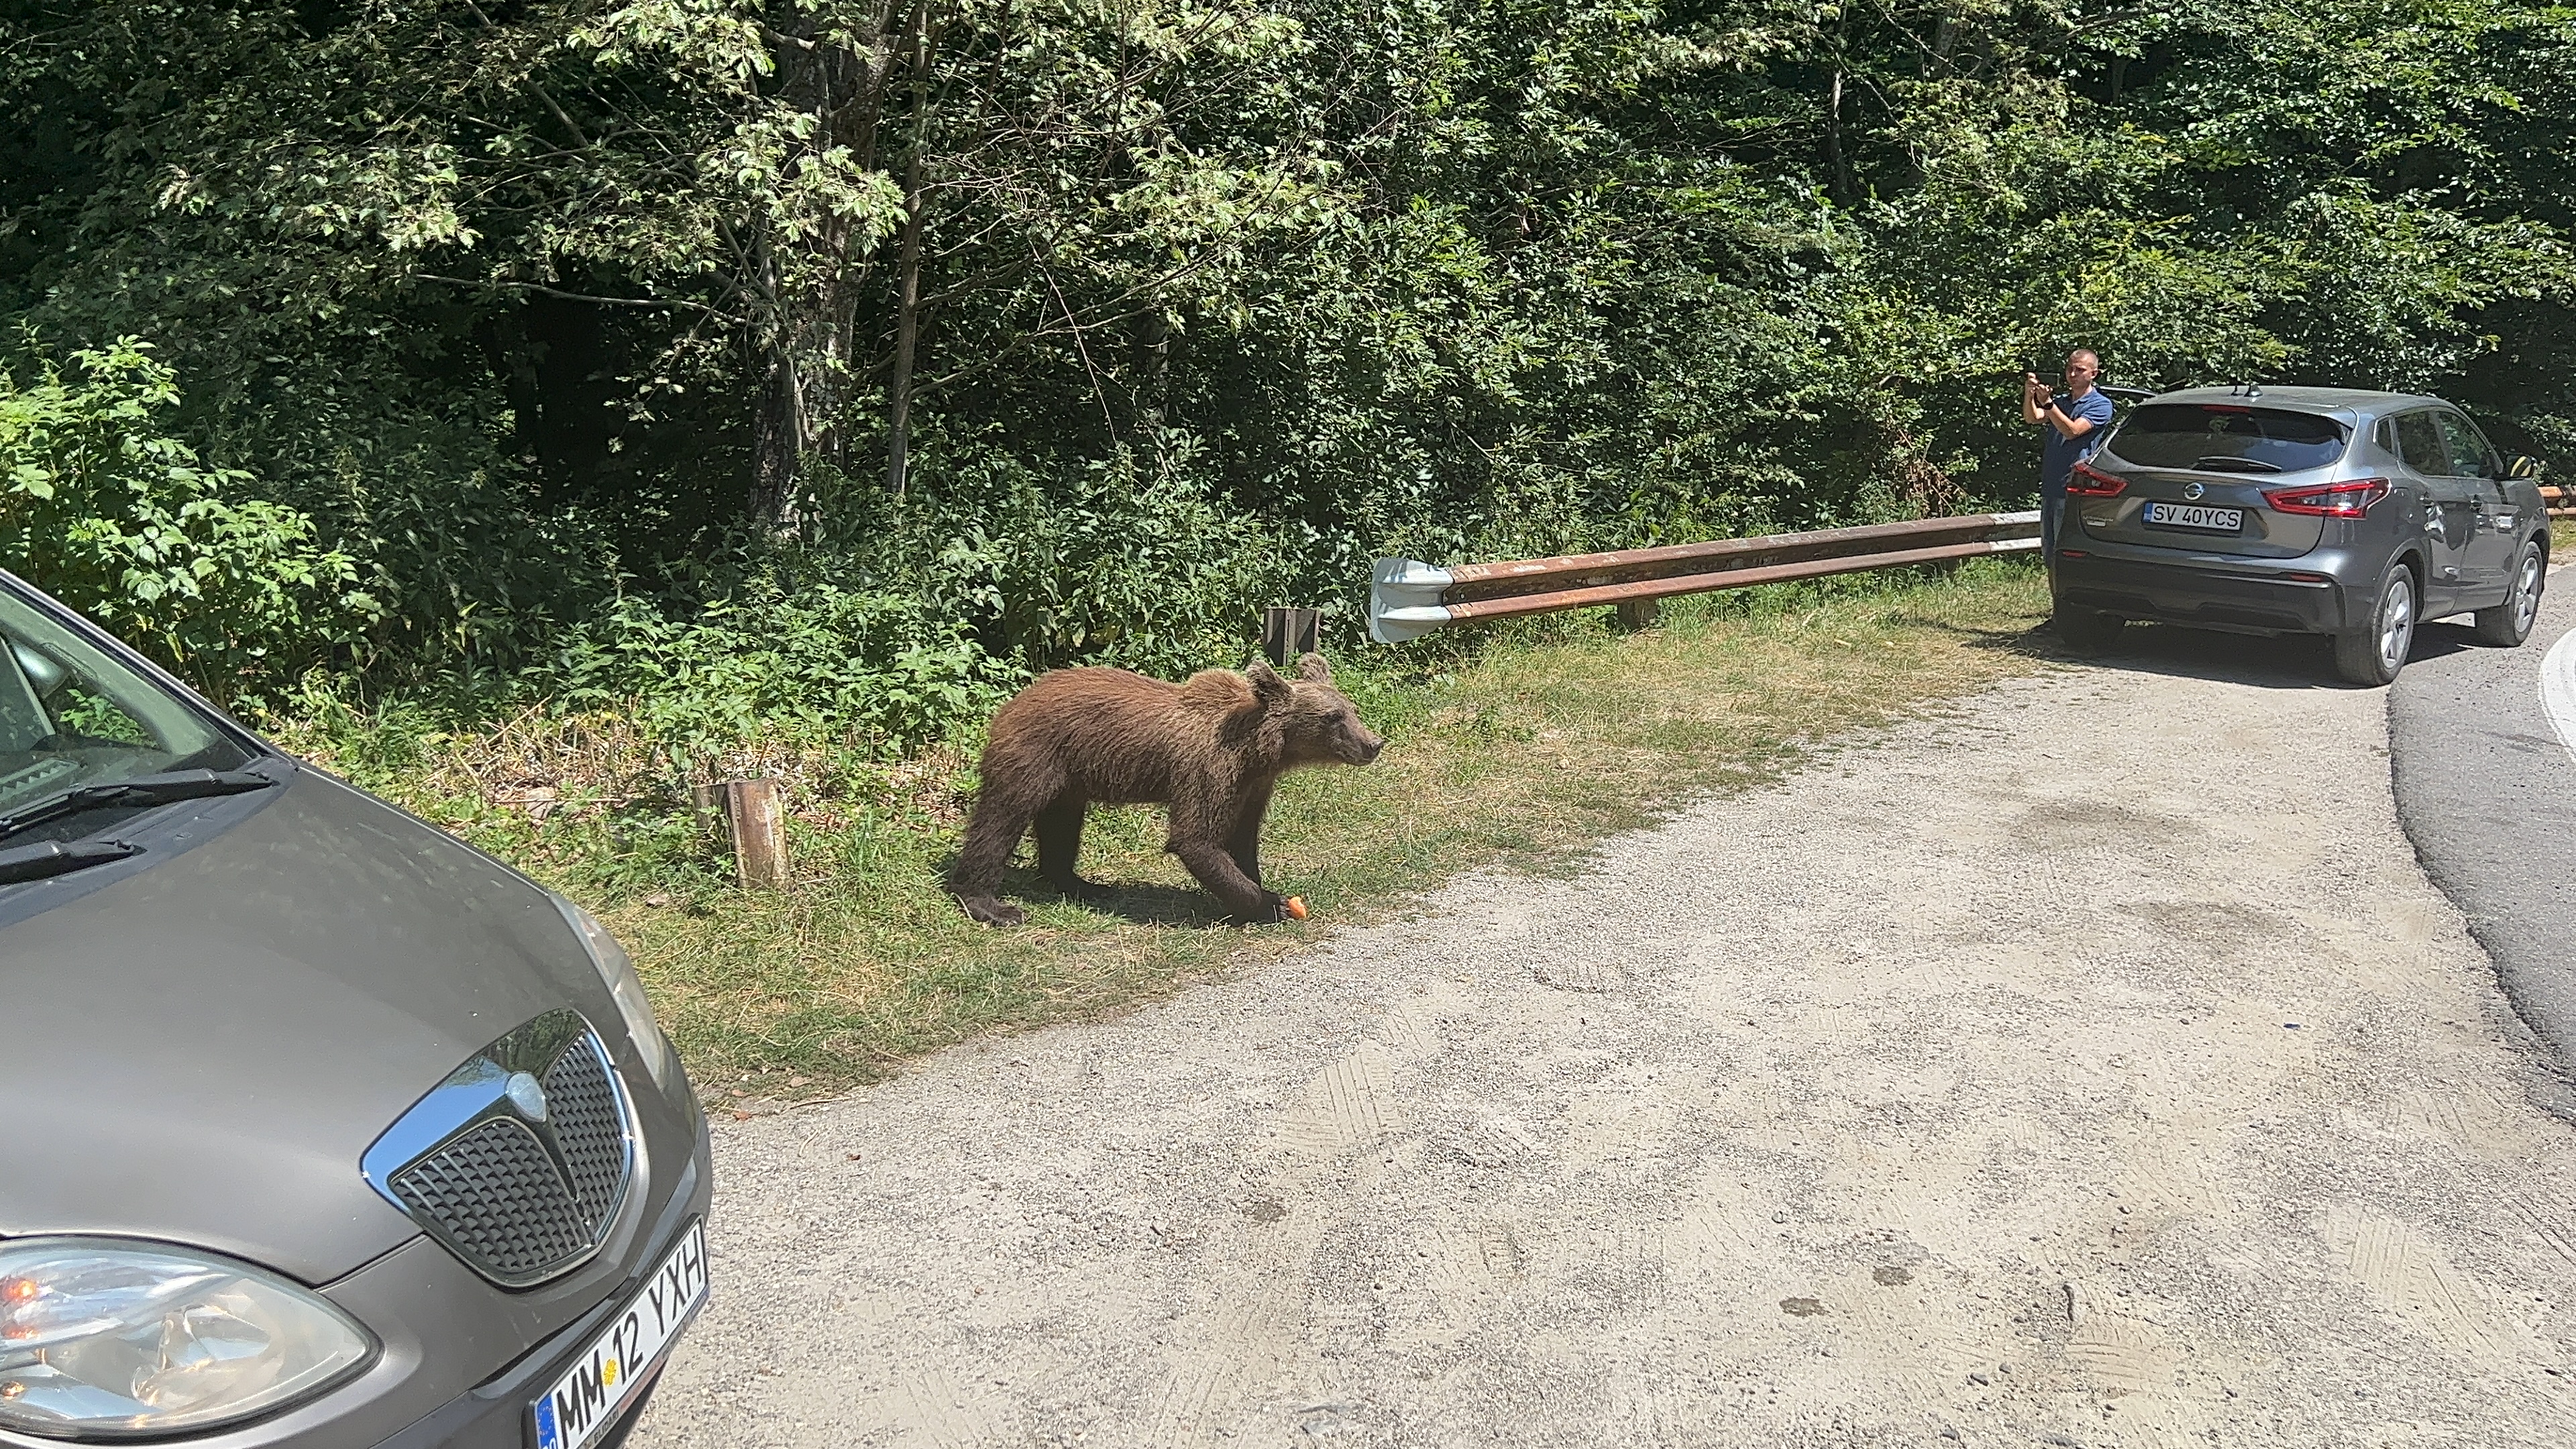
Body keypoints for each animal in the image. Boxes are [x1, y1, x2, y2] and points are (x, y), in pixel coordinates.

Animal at [948, 652, 1384, 927]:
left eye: (1351, 709)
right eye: (1333, 717)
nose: (1373, 743)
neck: (1259, 751)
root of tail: (1012, 702)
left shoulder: (1253, 785)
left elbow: (1243, 837)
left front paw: (1260, 885)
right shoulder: (1209, 770)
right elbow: (1195, 838)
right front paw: (1268, 903)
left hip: (1068, 775)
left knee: (1062, 824)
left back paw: (1083, 885)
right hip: (1035, 754)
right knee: (1000, 819)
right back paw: (990, 904)